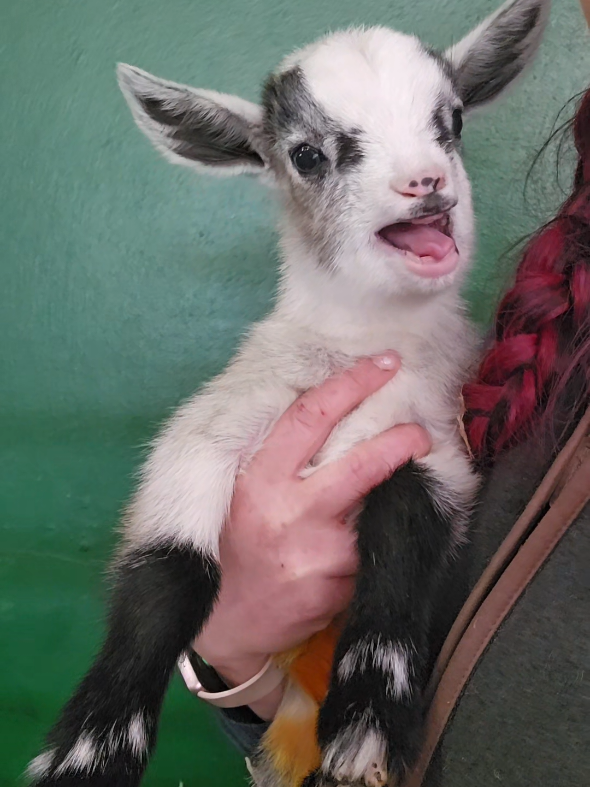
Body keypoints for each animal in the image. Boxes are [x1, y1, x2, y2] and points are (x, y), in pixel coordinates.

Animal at [28, 1, 550, 785]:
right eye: (307, 155)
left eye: (451, 120)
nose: (426, 181)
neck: (358, 345)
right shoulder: (206, 433)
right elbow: (169, 567)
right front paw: (91, 748)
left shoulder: (435, 436)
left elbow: (404, 523)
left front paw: (369, 713)